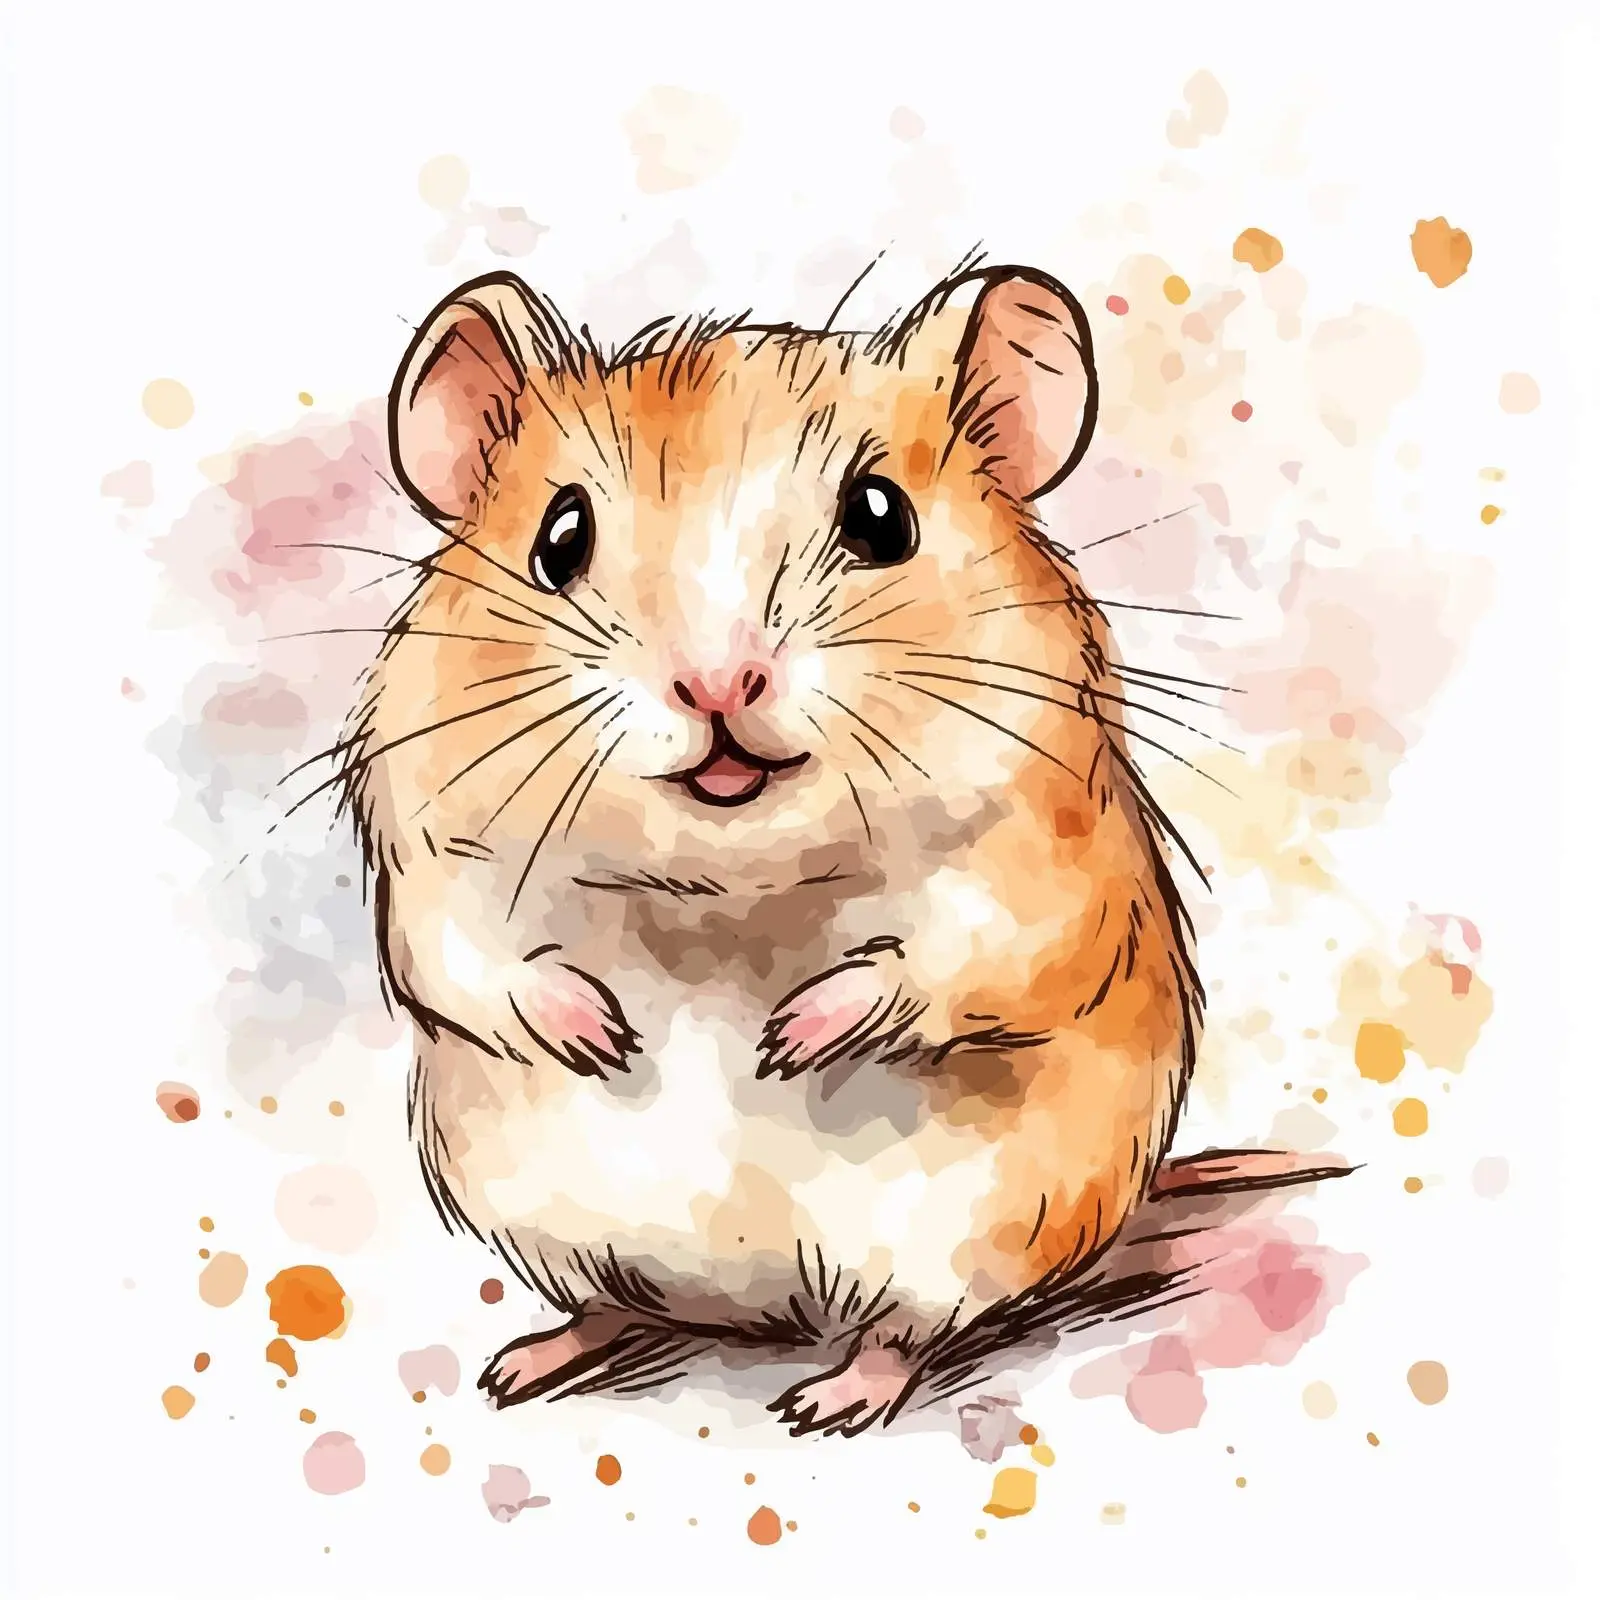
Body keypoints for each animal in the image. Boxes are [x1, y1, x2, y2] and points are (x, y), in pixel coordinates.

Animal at [343, 260, 1203, 1436]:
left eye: (882, 519)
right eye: (559, 539)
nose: (715, 685)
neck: (724, 879)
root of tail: (749, 1309)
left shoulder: (1045, 866)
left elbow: (960, 957)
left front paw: (787, 1039)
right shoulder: (430, 855)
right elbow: (469, 962)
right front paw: (603, 1036)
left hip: (964, 1234)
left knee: (906, 1332)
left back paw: (826, 1400)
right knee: (615, 1302)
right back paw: (527, 1363)